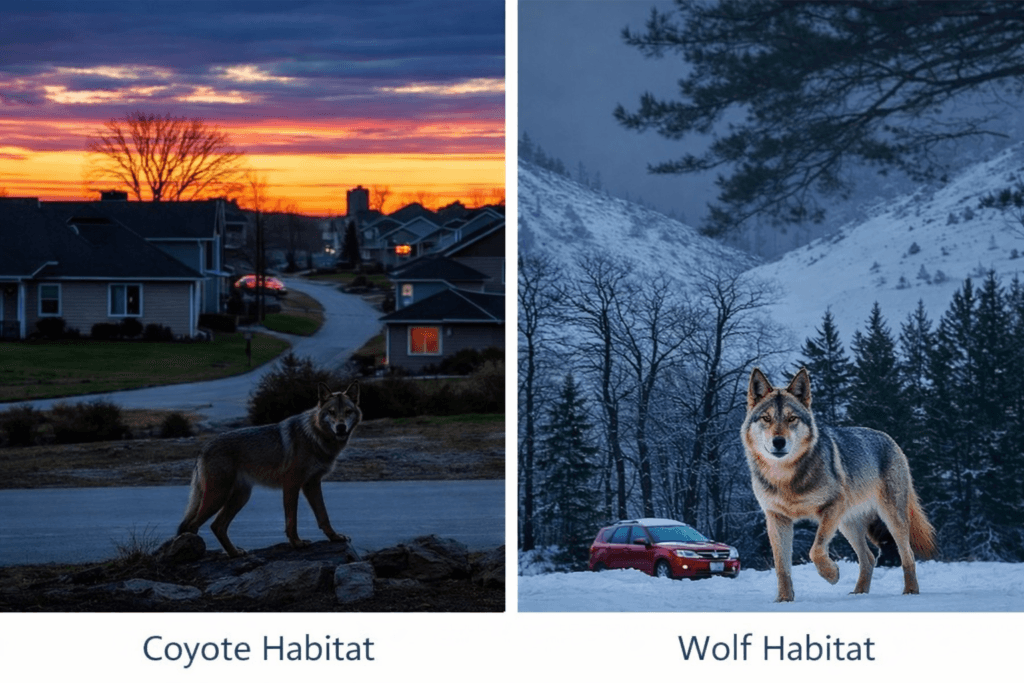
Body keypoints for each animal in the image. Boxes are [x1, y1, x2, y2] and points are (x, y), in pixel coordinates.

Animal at [177, 382, 361, 557]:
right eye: (331, 412)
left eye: (348, 412)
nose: (341, 427)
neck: (315, 436)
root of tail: (203, 449)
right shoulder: (292, 485)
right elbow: (291, 519)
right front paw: (297, 543)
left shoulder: (312, 484)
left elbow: (323, 515)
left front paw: (334, 537)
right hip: (218, 497)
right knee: (193, 525)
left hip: (240, 497)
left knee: (217, 526)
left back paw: (235, 553)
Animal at [741, 367, 935, 602]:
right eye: (766, 418)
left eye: (791, 418)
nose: (779, 442)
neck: (785, 477)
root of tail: (889, 438)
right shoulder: (777, 518)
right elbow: (782, 566)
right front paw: (784, 599)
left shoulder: (832, 507)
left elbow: (815, 549)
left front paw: (831, 574)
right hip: (847, 524)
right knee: (869, 557)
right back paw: (859, 592)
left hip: (890, 518)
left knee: (907, 554)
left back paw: (910, 591)